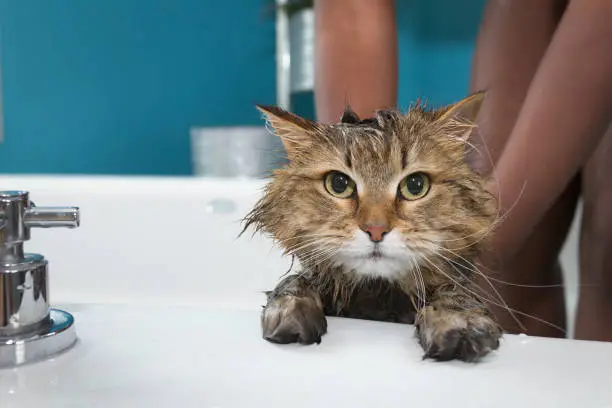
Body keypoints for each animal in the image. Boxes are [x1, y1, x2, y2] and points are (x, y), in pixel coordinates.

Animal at [241, 93, 504, 364]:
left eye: (415, 185)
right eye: (338, 184)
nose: (375, 230)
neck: (377, 297)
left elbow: (455, 294)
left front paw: (459, 321)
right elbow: (294, 281)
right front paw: (290, 310)